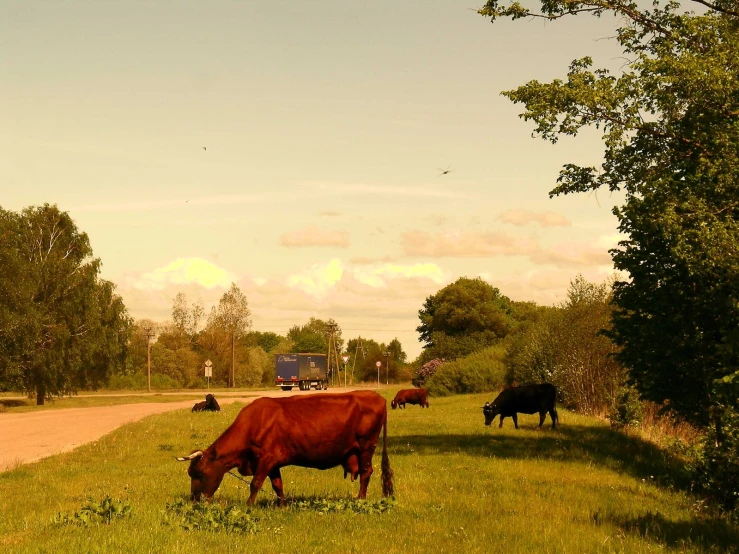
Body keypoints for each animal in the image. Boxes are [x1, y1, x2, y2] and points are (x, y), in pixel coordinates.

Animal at [176, 388, 394, 504]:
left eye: (199, 473)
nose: (194, 499)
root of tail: (376, 397)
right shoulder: (273, 463)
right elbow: (277, 485)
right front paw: (282, 504)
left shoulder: (266, 459)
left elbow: (255, 483)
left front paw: (248, 505)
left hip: (366, 447)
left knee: (366, 473)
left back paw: (360, 498)